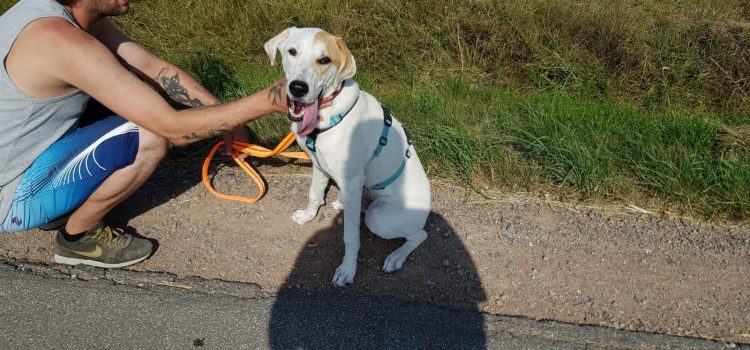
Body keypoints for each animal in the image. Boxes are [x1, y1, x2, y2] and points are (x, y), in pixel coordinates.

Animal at [266, 27, 432, 288]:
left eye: (324, 60)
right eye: (292, 51)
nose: (298, 88)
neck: (326, 113)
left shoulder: (352, 181)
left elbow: (350, 237)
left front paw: (347, 269)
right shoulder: (318, 166)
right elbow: (314, 194)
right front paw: (308, 216)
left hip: (379, 218)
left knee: (419, 235)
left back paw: (396, 256)